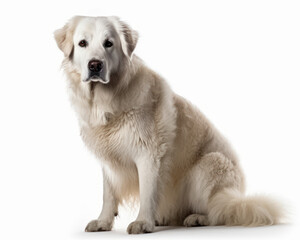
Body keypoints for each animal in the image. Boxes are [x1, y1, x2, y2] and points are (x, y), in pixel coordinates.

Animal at [54, 15, 284, 233]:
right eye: (82, 43)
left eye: (108, 43)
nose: (95, 65)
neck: (106, 100)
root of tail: (240, 195)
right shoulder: (109, 158)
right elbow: (108, 195)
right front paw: (103, 222)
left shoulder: (149, 154)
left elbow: (147, 192)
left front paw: (143, 223)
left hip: (209, 164)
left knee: (220, 211)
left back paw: (197, 218)